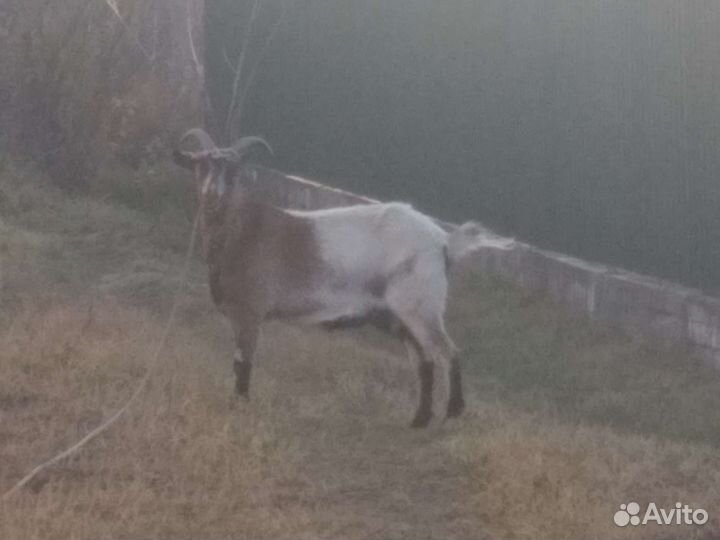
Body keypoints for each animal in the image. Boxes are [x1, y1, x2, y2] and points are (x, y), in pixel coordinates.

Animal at [173, 128, 515, 428]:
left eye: (233, 169)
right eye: (200, 164)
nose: (212, 194)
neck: (243, 230)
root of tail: (443, 240)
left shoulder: (250, 311)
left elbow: (243, 363)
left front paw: (239, 405)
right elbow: (237, 362)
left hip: (420, 304)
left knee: (447, 351)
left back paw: (453, 412)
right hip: (398, 315)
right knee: (425, 360)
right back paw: (419, 419)